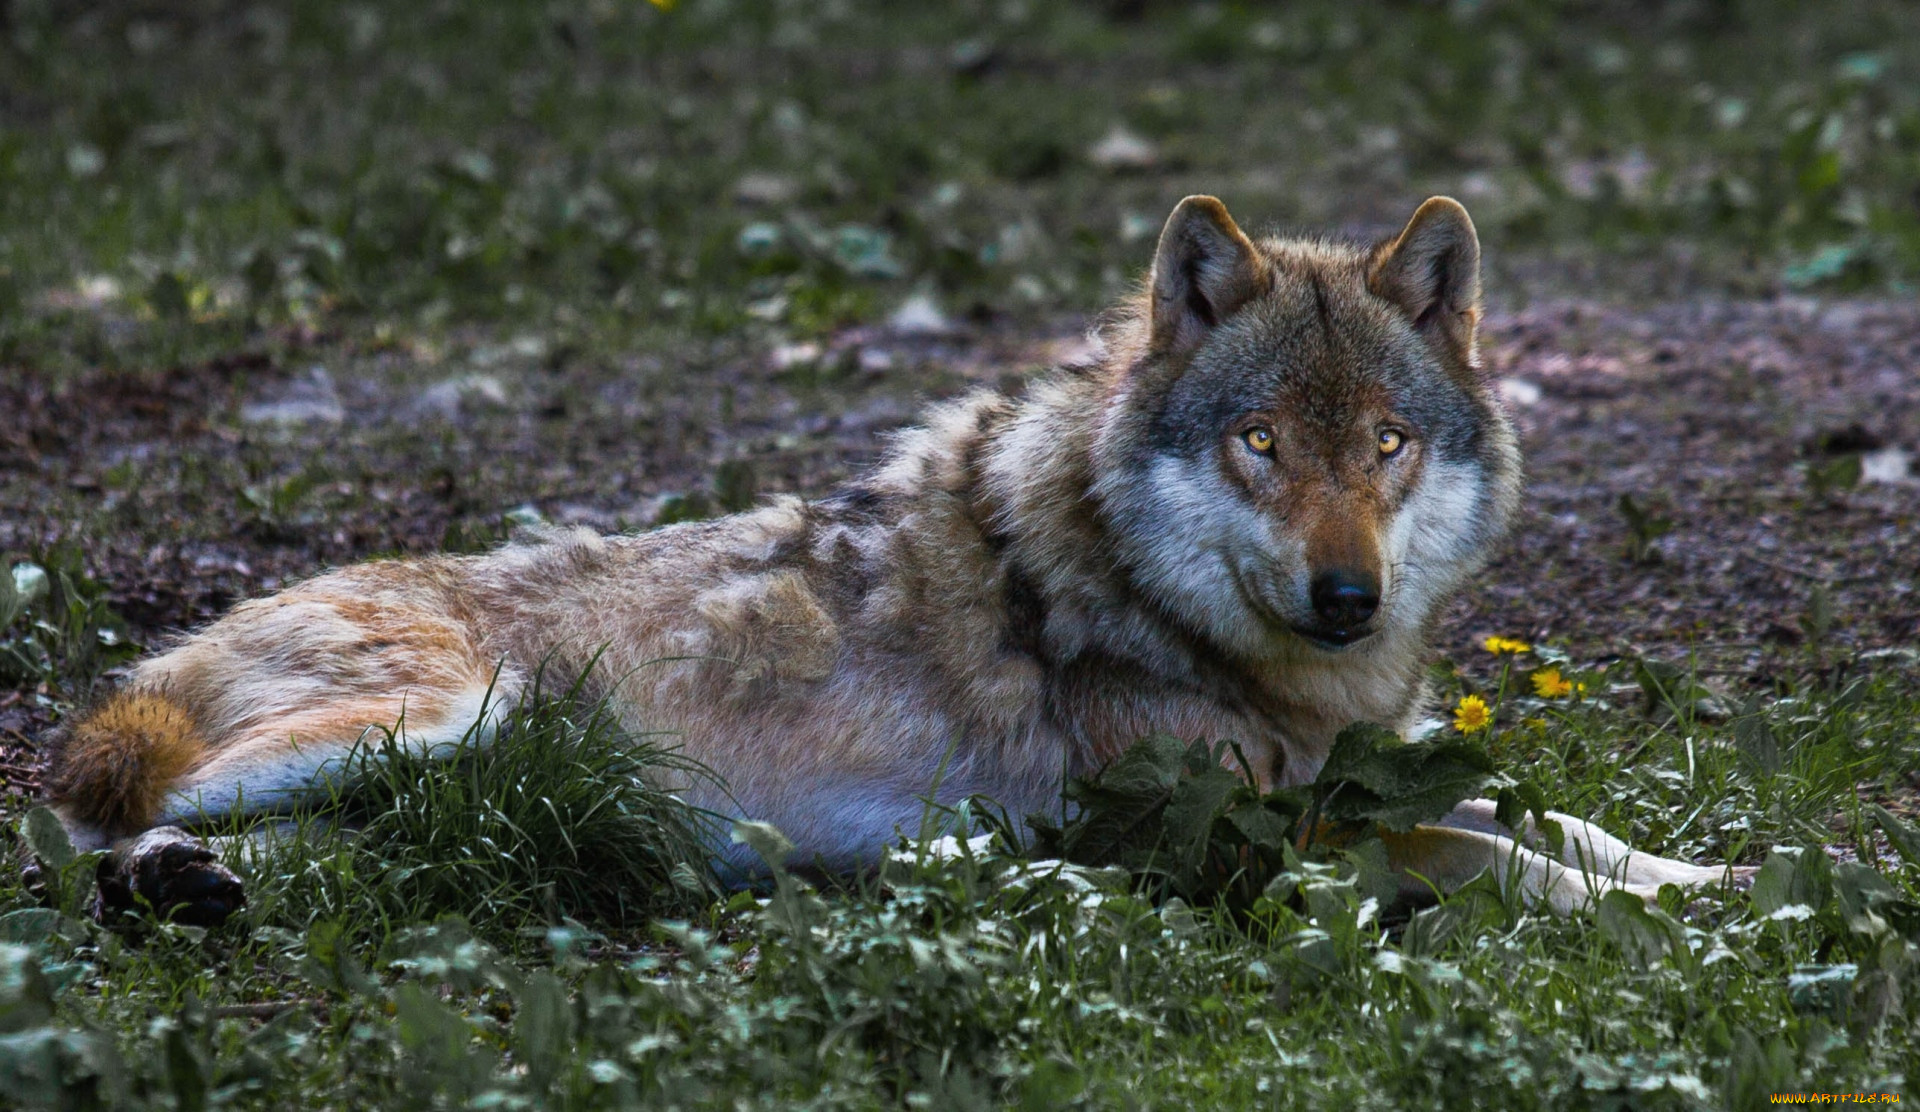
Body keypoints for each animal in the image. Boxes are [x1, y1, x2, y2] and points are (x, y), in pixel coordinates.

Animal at [30, 193, 1751, 921]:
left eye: (1384, 444)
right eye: (1263, 441)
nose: (1348, 597)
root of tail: (175, 644)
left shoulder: (1344, 783)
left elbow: (1548, 818)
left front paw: (1722, 877)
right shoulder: (1224, 843)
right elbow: (1489, 852)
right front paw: (1656, 912)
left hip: (476, 799)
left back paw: (182, 892)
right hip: (459, 719)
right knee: (72, 824)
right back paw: (149, 875)